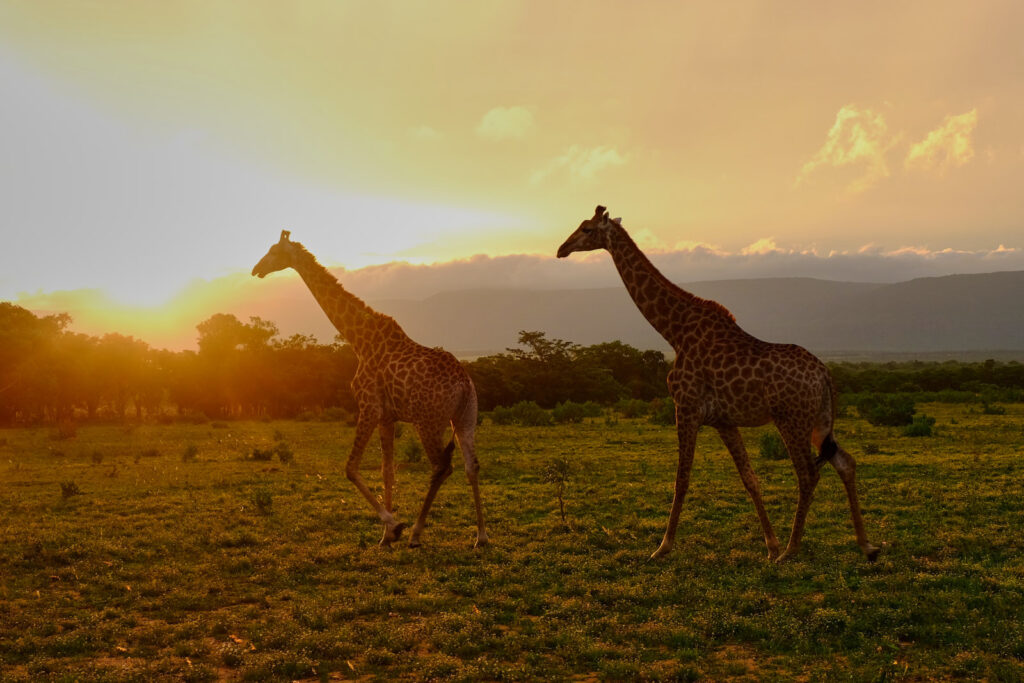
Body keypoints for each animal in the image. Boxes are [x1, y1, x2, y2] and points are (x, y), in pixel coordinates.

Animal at [249, 232, 485, 548]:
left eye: (274, 251)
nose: (256, 270)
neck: (359, 339)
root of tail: (463, 384)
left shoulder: (368, 406)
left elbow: (350, 468)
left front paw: (395, 526)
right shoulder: (387, 416)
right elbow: (387, 471)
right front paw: (385, 536)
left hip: (428, 421)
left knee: (441, 467)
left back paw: (416, 533)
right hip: (465, 418)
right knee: (472, 466)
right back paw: (481, 536)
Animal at [557, 205, 876, 565]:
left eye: (586, 229)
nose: (561, 249)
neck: (675, 332)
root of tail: (824, 374)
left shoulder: (686, 407)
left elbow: (682, 480)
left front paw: (662, 547)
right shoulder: (723, 420)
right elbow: (750, 479)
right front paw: (770, 545)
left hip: (791, 419)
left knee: (808, 473)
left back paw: (792, 550)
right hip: (820, 421)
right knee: (845, 462)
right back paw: (866, 545)